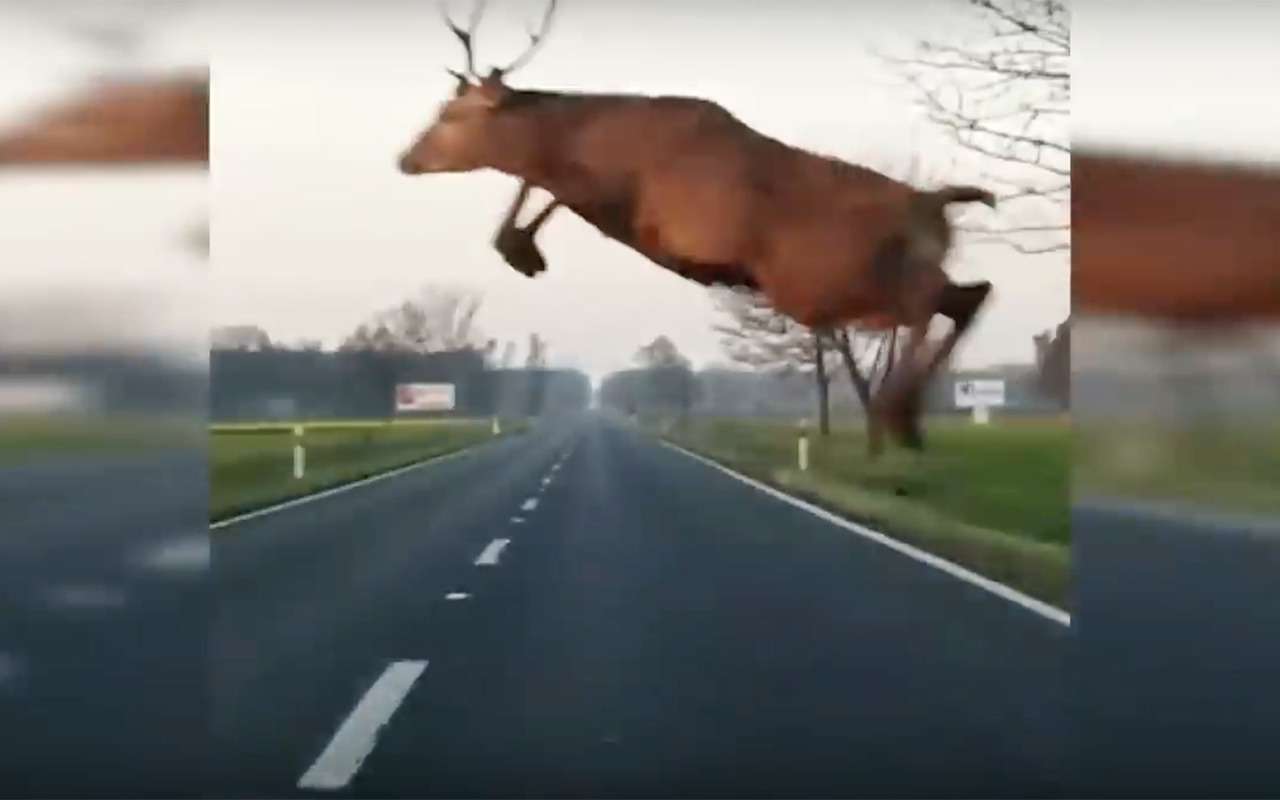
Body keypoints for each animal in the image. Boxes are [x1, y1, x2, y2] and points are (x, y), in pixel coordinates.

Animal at [396, 0, 998, 453]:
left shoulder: (664, 217)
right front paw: (520, 247)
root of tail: (935, 203)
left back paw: (897, 415)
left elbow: (549, 188)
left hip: (829, 280)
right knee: (967, 295)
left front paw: (521, 248)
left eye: (452, 115)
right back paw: (905, 422)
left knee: (931, 303)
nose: (406, 159)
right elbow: (538, 185)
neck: (598, 143)